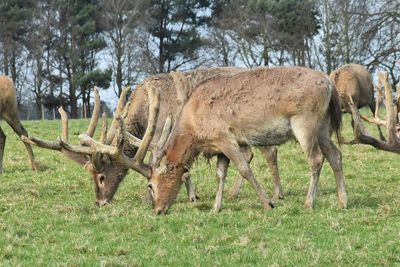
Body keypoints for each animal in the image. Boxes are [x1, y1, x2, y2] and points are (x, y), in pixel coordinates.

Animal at [22, 67, 282, 209]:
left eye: (102, 177)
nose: (100, 202)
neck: (143, 114)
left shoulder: (162, 134)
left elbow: (164, 163)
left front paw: (173, 195)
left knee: (268, 151)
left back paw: (275, 193)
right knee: (254, 152)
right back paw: (239, 193)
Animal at [80, 66, 346, 216]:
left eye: (151, 185)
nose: (158, 210)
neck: (195, 129)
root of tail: (330, 84)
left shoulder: (225, 137)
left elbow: (244, 168)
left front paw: (268, 204)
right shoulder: (218, 149)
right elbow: (220, 174)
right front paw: (216, 208)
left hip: (305, 123)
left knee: (315, 159)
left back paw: (309, 203)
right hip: (323, 127)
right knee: (336, 155)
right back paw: (343, 201)